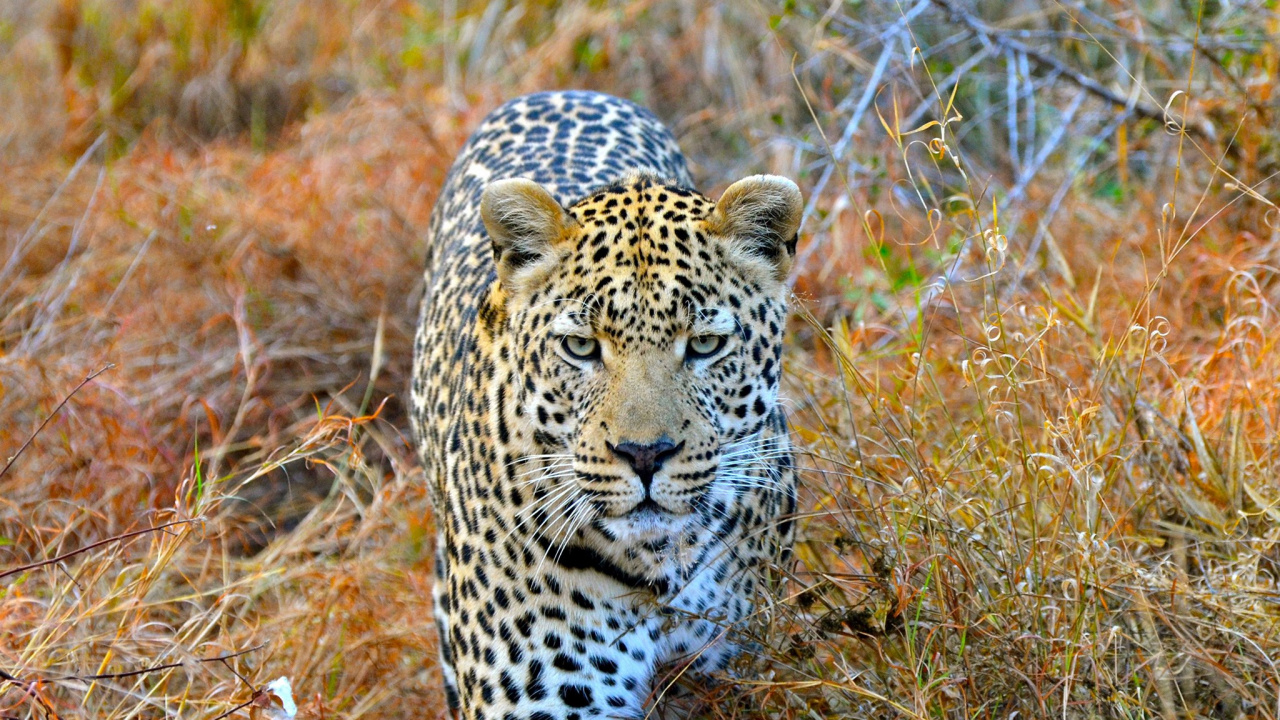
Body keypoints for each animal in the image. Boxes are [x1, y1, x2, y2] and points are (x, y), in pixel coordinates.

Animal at [410, 90, 802, 720]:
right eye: (580, 347)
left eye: (704, 344)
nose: (644, 455)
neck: (657, 565)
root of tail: (560, 91)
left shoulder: (734, 672)